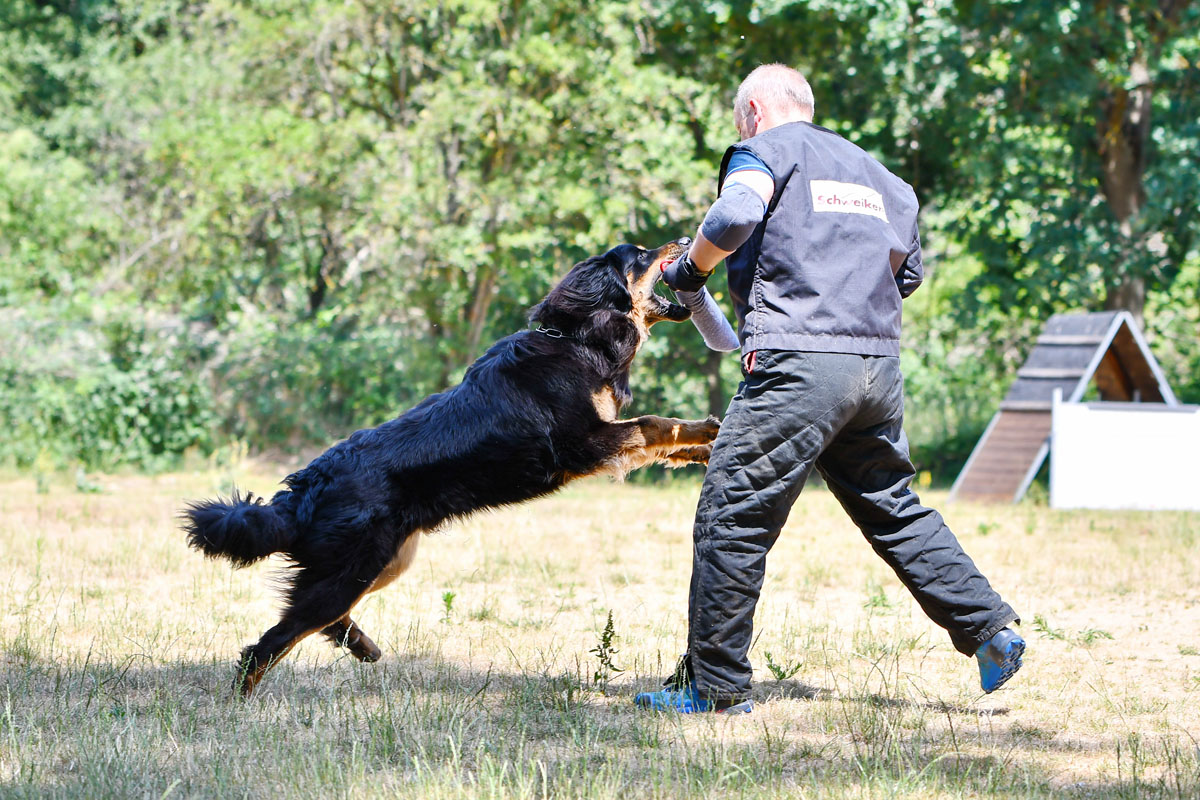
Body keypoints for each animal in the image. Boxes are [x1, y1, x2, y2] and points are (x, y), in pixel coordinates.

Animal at [178, 236, 720, 695]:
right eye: (641, 254)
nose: (681, 240)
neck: (574, 339)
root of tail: (303, 490)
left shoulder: (601, 436)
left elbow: (662, 436)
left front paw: (706, 442)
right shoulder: (581, 445)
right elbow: (654, 424)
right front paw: (703, 433)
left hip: (383, 561)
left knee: (314, 618)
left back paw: (363, 647)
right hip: (356, 566)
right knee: (271, 642)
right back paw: (243, 702)